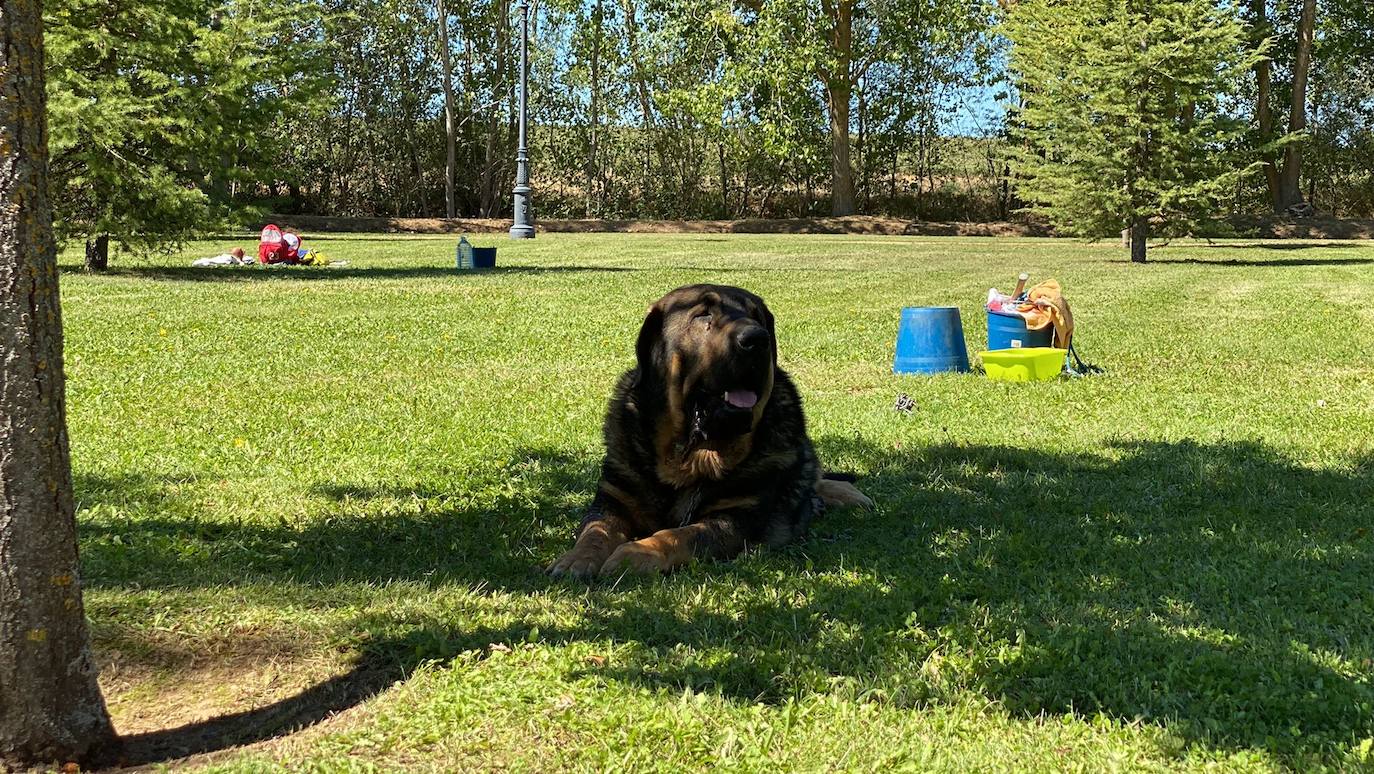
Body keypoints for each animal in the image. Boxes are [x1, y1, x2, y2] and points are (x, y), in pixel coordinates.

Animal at [546, 283, 868, 574]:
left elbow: (679, 534)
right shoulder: (613, 499)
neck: (687, 459)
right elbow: (596, 531)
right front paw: (577, 558)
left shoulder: (736, 517)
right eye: (703, 316)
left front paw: (637, 553)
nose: (757, 339)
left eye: (758, 317)